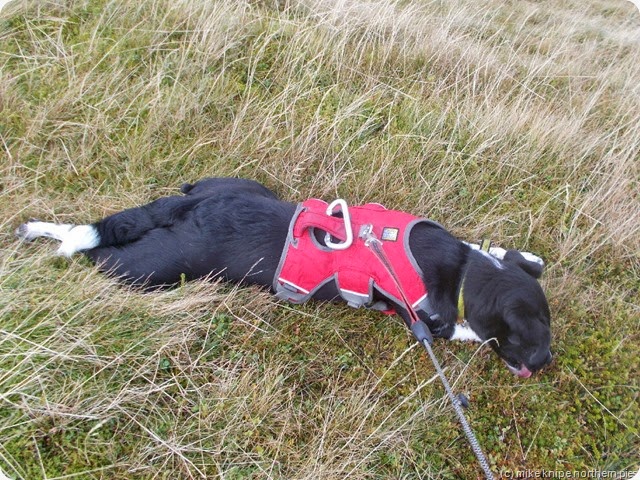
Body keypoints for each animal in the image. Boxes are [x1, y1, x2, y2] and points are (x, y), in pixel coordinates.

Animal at [17, 177, 552, 378]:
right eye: (536, 336)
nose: (547, 364)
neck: (464, 270)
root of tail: (195, 206)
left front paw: (523, 253)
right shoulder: (425, 320)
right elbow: (463, 330)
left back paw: (34, 229)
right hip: (150, 269)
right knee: (94, 248)